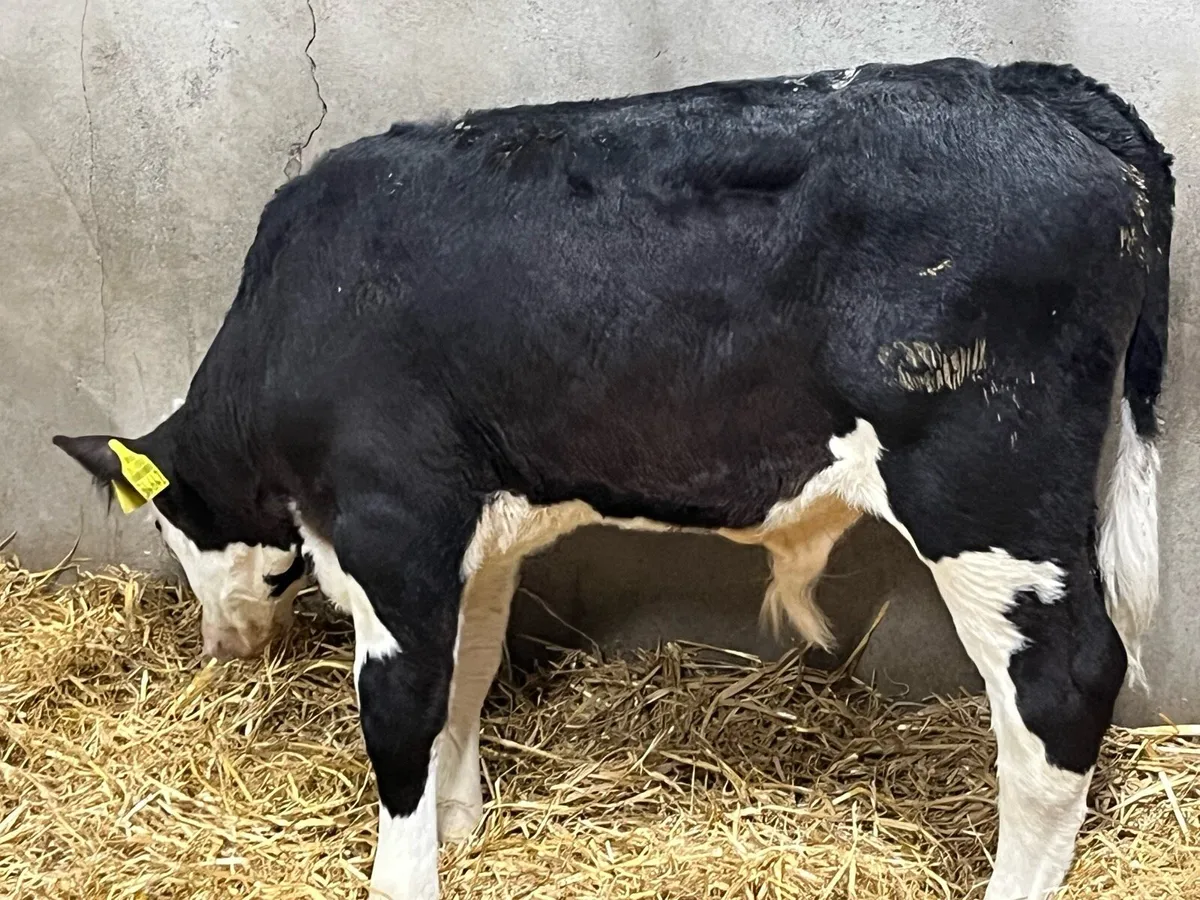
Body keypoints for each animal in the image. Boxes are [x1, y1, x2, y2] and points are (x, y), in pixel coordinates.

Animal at [53, 57, 1172, 900]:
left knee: (1062, 682)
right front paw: (462, 822)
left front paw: (404, 873)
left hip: (984, 487)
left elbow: (402, 707)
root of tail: (1026, 85)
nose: (220, 646)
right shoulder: (478, 530)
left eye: (167, 528)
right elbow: (470, 668)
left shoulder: (392, 523)